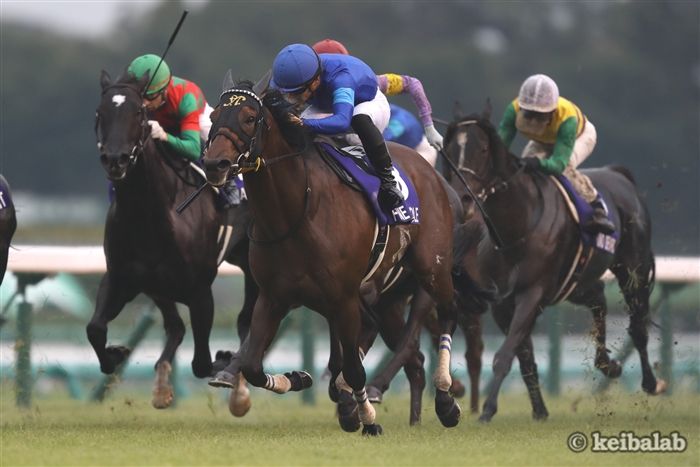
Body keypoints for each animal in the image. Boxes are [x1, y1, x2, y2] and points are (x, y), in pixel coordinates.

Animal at [89, 70, 257, 409]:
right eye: (100, 112)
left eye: (139, 113)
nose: (115, 159)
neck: (151, 213)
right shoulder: (122, 278)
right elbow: (95, 328)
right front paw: (116, 354)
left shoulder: (200, 290)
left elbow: (202, 362)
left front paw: (225, 360)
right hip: (160, 284)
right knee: (177, 326)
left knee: (246, 319)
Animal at [202, 79, 461, 434]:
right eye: (214, 116)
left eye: (249, 117)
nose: (215, 165)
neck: (297, 212)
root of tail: (430, 171)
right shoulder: (273, 297)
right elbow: (254, 365)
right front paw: (297, 378)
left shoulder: (344, 299)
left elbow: (353, 368)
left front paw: (368, 419)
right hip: (387, 297)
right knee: (408, 354)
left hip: (431, 267)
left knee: (448, 313)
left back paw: (446, 400)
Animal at [442, 105, 666, 422]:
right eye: (450, 148)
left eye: (483, 148)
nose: (462, 196)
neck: (517, 227)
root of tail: (619, 174)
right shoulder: (503, 302)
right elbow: (524, 359)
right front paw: (539, 410)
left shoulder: (531, 293)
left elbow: (504, 356)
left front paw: (487, 410)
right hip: (576, 282)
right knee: (599, 300)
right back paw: (608, 365)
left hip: (633, 269)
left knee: (638, 325)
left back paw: (650, 382)